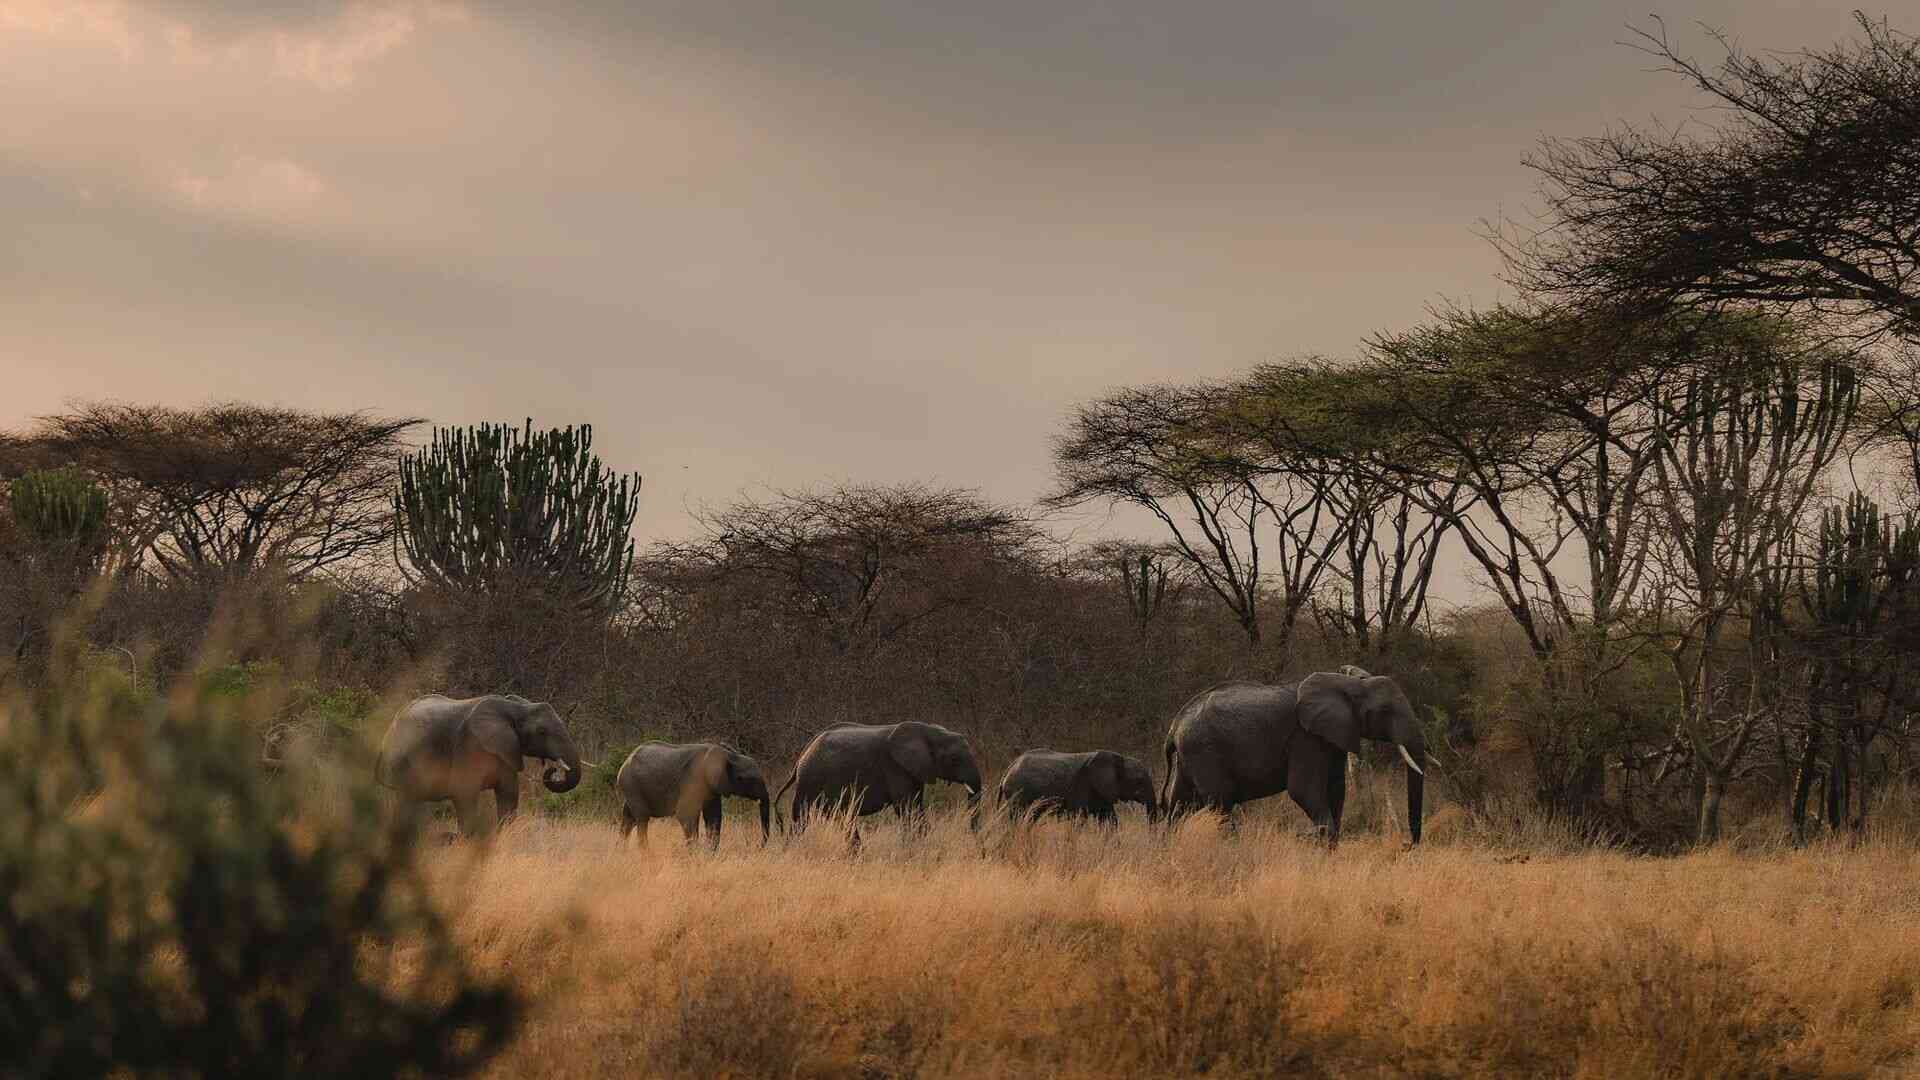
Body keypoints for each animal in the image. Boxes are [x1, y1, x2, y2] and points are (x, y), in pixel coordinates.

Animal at [376, 693, 584, 836]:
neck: (516, 708)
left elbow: (509, 794)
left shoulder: (506, 751)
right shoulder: (470, 746)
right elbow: (464, 793)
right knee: (404, 802)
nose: (553, 769)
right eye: (541, 732)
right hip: (400, 760)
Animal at [615, 741, 771, 849]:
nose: (758, 846)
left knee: (628, 819)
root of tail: (625, 761)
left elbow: (714, 817)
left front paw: (710, 854)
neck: (729, 755)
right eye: (748, 779)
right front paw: (694, 854)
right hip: (631, 785)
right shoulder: (693, 781)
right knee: (641, 819)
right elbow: (686, 815)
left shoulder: (712, 789)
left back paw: (621, 852)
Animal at [775, 721, 983, 835]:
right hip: (810, 781)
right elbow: (907, 809)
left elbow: (916, 806)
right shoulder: (895, 767)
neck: (930, 731)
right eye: (955, 759)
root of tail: (800, 758)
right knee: (803, 819)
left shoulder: (913, 771)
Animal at [997, 749, 1159, 825]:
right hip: (1018, 793)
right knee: (1018, 817)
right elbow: (1080, 819)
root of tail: (1008, 768)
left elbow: (1110, 820)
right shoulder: (1083, 785)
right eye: (1139, 781)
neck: (1120, 758)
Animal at [1161, 671, 1428, 845]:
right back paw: (1232, 848)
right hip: (1204, 751)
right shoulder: (1305, 737)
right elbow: (1303, 790)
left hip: (1190, 756)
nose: (1407, 845)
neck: (1348, 683)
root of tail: (1174, 726)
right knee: (1219, 802)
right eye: (1385, 711)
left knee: (1180, 805)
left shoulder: (1332, 737)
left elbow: (1336, 789)